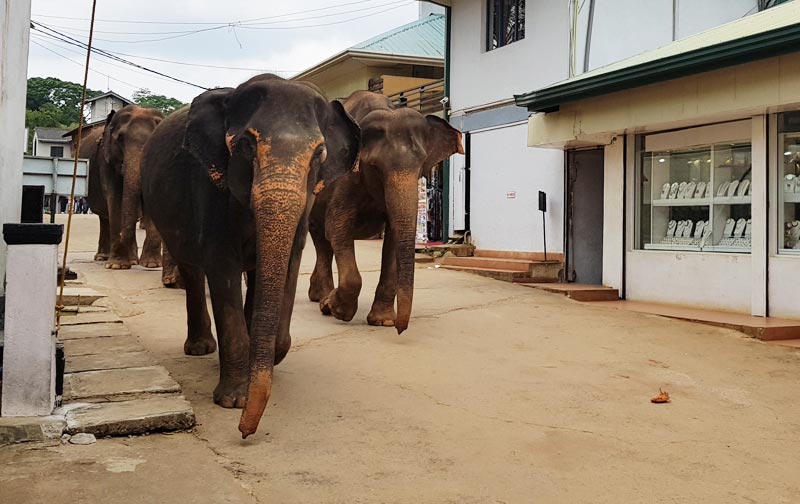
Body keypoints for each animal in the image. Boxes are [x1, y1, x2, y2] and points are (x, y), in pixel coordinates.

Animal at [140, 74, 360, 438]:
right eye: (246, 146)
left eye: (319, 154)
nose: (245, 431)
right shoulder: (211, 185)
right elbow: (221, 264)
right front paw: (233, 401)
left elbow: (289, 261)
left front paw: (268, 359)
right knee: (192, 269)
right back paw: (200, 349)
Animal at [310, 90, 466, 334]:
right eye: (375, 166)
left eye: (422, 164)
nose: (401, 329)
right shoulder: (346, 178)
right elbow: (337, 226)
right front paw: (338, 309)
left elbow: (394, 237)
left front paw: (383, 321)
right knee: (321, 238)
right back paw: (322, 301)